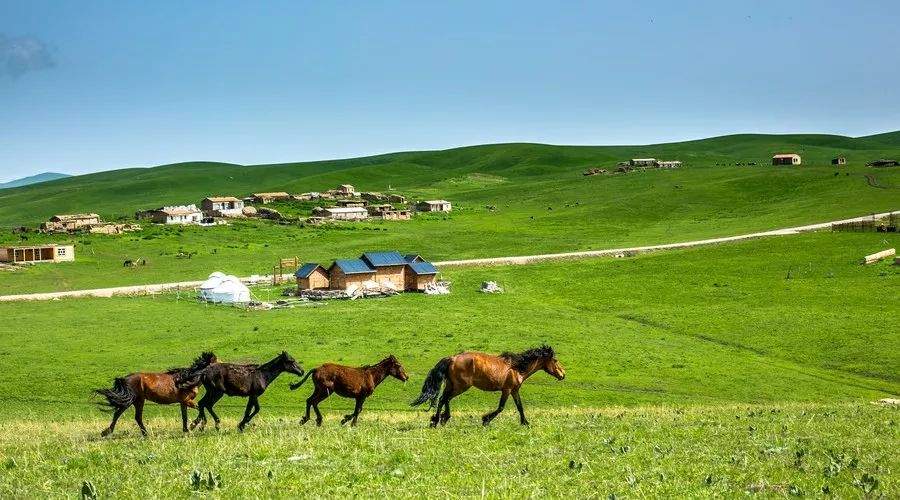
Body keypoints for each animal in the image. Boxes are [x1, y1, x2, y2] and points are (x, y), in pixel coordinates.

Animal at [412, 346, 568, 428]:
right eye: (555, 360)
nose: (563, 375)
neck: (517, 368)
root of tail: (452, 358)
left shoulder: (514, 391)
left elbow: (520, 407)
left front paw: (525, 422)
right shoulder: (507, 390)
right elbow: (500, 407)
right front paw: (485, 420)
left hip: (452, 385)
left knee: (444, 399)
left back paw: (441, 419)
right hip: (461, 387)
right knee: (443, 399)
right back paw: (437, 421)